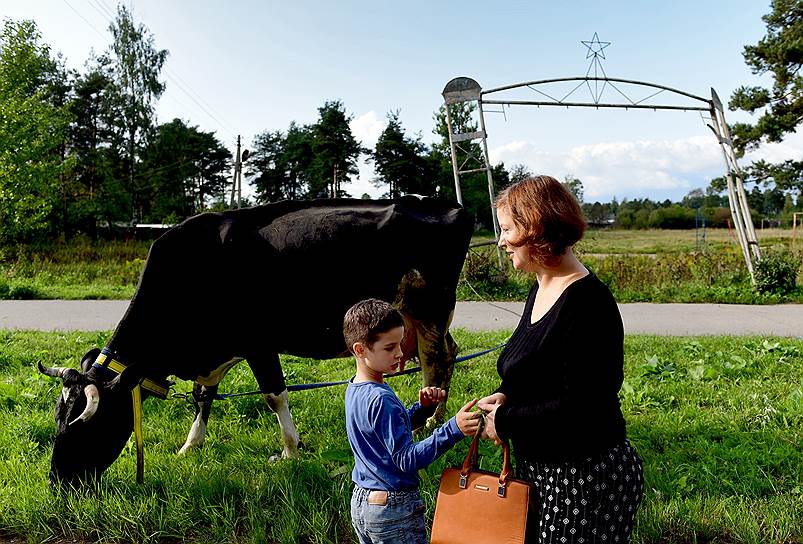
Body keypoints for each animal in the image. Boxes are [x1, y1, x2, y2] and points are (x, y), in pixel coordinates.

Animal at [37, 197, 474, 488]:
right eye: (57, 418)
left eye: (86, 426)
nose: (58, 482)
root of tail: (449, 205)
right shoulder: (215, 353)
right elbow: (203, 397)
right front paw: (190, 446)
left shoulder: (260, 344)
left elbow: (274, 396)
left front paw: (290, 452)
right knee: (447, 354)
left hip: (429, 308)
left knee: (436, 359)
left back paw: (432, 423)